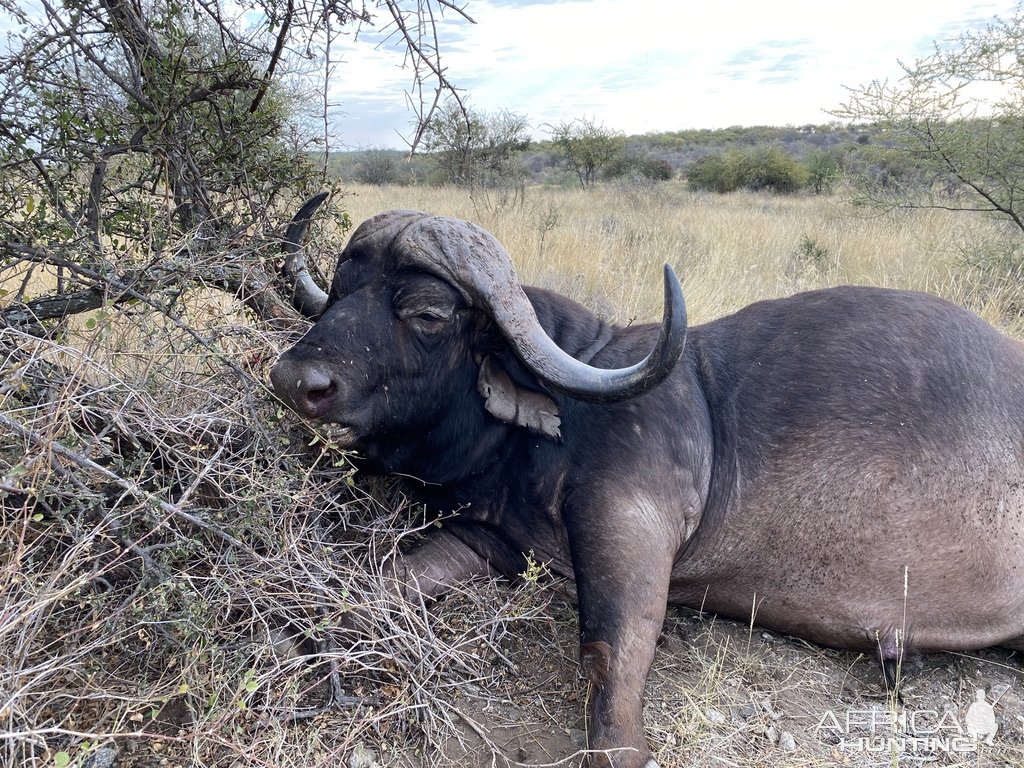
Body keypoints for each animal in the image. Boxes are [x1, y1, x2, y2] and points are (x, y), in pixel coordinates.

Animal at [270, 192, 1024, 768]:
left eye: (425, 313)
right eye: (340, 293)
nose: (295, 379)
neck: (553, 420)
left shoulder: (627, 522)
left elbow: (612, 651)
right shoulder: (482, 542)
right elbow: (379, 584)